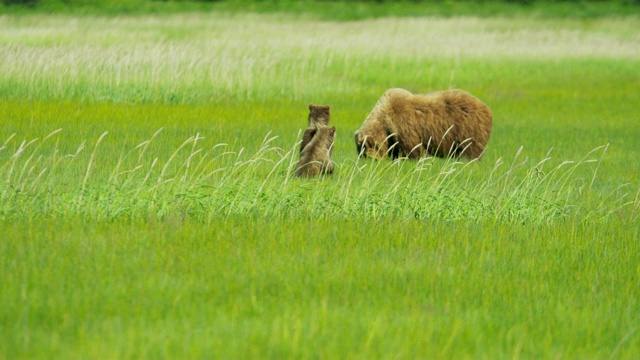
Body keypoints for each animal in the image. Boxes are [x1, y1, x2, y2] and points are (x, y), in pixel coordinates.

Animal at [352, 88, 492, 160]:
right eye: (360, 148)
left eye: (366, 147)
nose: (368, 159)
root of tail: (486, 108)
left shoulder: (404, 124)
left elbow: (413, 148)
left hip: (468, 129)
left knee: (469, 150)